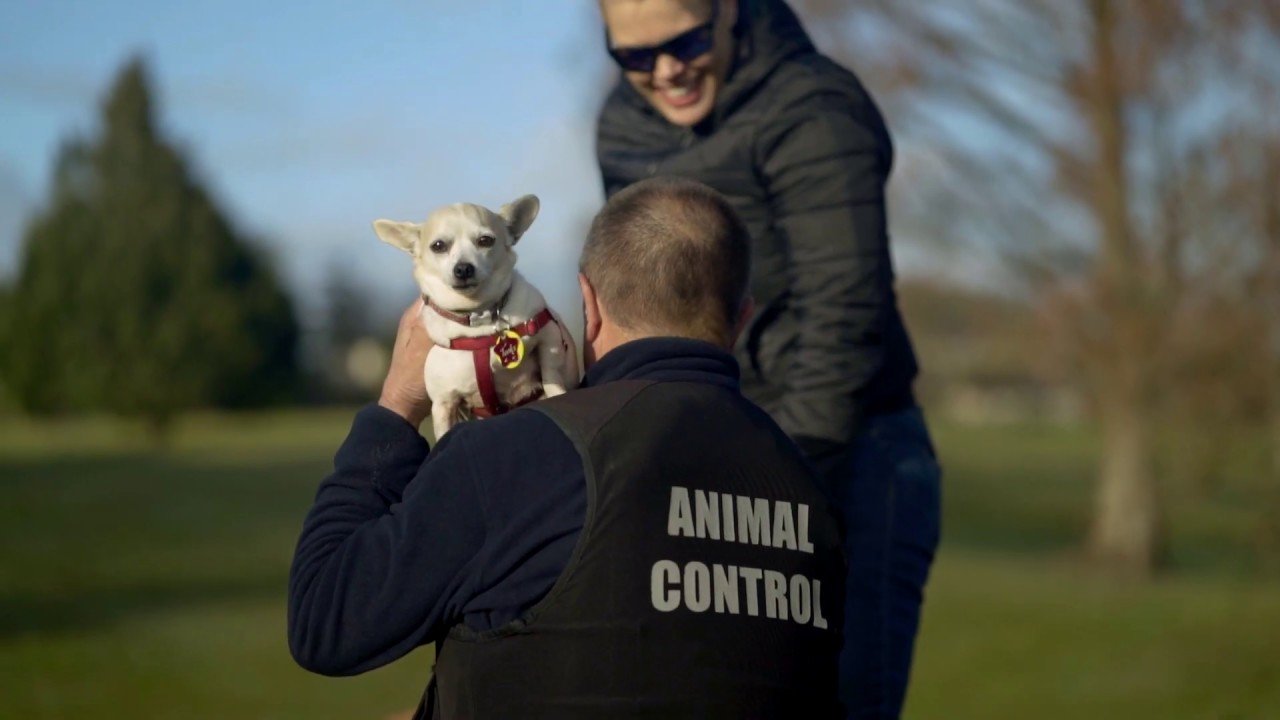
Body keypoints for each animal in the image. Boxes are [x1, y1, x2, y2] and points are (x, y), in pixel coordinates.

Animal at [373, 193, 578, 435]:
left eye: (485, 240)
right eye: (438, 246)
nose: (463, 268)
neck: (479, 316)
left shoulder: (549, 336)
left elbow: (551, 375)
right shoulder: (444, 403)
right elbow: (444, 433)